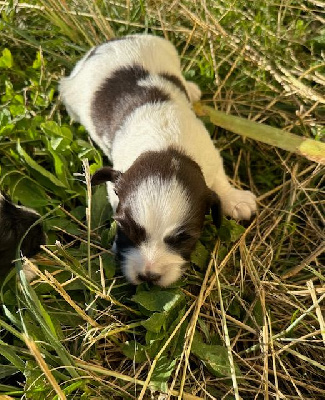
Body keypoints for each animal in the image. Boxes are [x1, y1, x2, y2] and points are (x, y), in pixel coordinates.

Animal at [58, 33, 256, 284]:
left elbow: (220, 180)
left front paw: (236, 200)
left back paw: (190, 88)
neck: (166, 147)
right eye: (125, 228)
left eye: (184, 238)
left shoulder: (209, 156)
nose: (148, 276)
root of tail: (110, 43)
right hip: (72, 92)